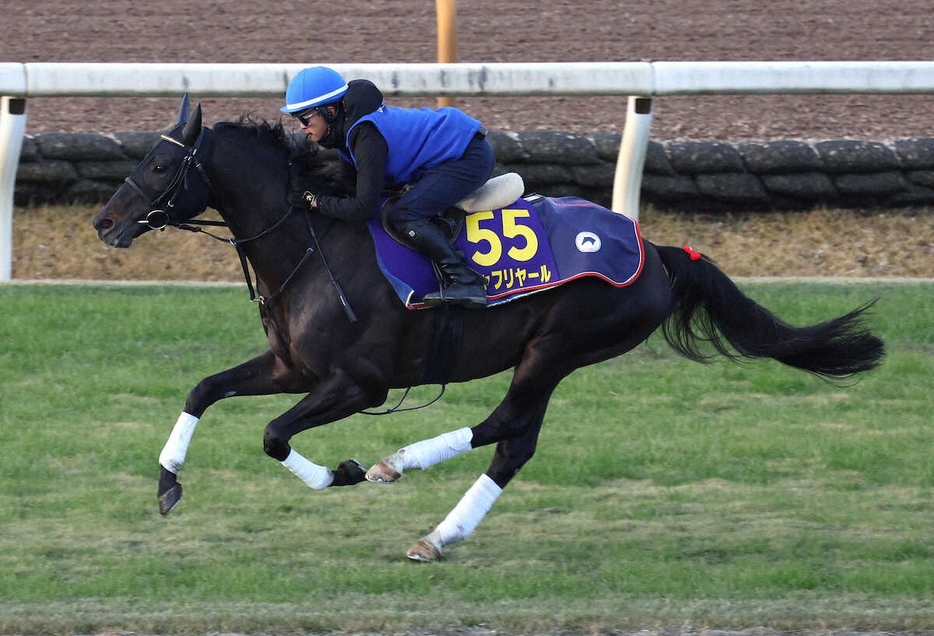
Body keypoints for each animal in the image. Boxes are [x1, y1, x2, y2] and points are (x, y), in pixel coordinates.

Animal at [91, 94, 888, 560]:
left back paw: (397, 468)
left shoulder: (358, 383)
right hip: (555, 354)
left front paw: (344, 471)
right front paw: (167, 484)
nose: (103, 222)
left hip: (558, 344)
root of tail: (656, 251)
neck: (313, 243)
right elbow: (203, 389)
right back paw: (439, 535)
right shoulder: (293, 369)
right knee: (516, 442)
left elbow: (272, 436)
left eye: (159, 163)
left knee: (505, 425)